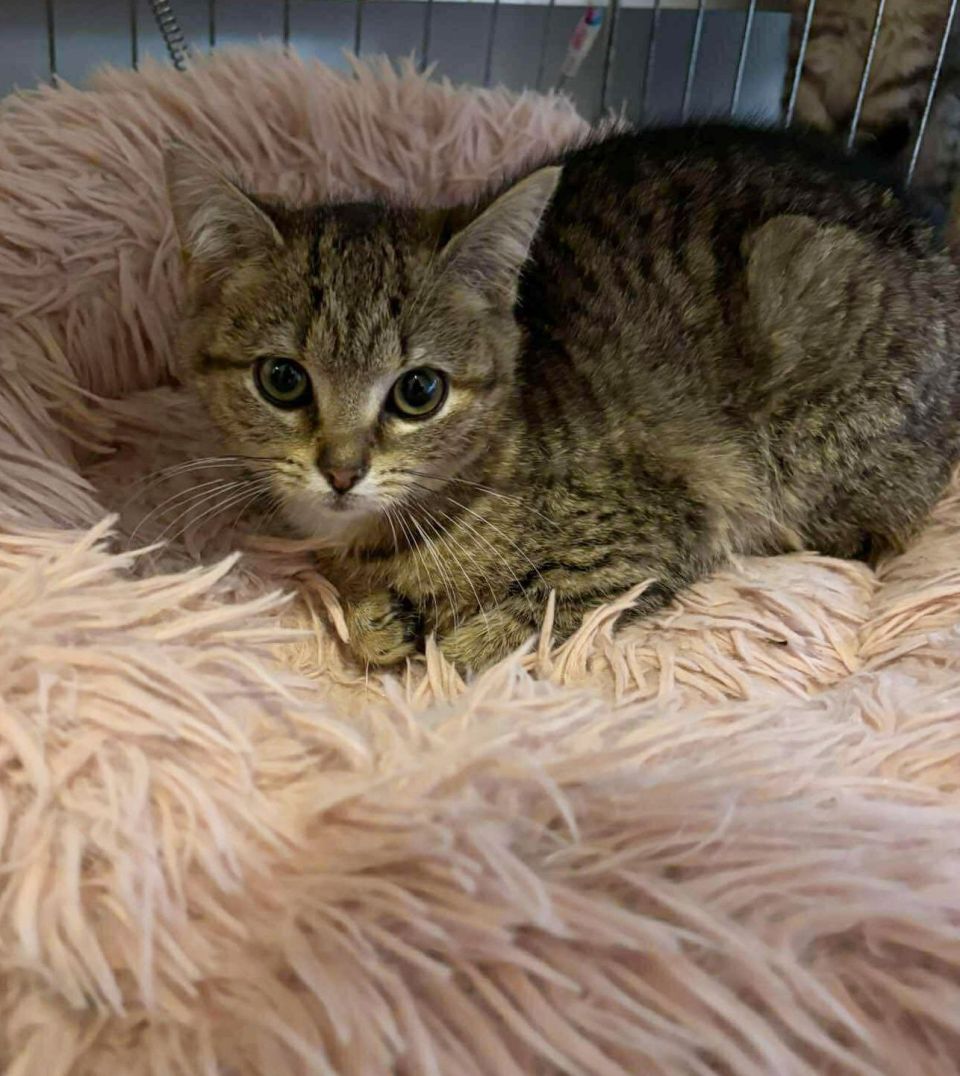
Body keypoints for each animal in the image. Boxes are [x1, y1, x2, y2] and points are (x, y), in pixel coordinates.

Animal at [165, 125, 960, 671]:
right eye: (283, 379)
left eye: (419, 391)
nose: (340, 471)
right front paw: (373, 615)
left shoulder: (661, 529)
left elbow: (517, 622)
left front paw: (445, 638)